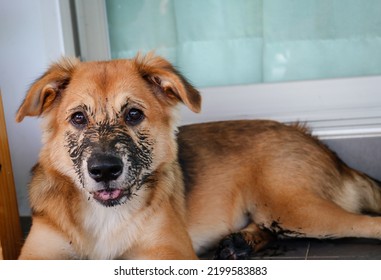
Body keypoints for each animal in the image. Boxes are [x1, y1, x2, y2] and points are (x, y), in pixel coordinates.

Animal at [16, 53, 380, 260]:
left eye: (133, 115)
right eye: (78, 118)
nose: (104, 170)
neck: (104, 216)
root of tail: (319, 143)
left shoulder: (169, 251)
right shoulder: (37, 255)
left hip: (295, 208)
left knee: (369, 223)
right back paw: (240, 242)